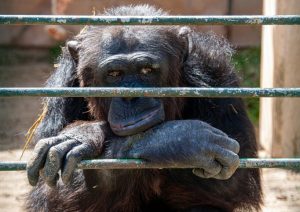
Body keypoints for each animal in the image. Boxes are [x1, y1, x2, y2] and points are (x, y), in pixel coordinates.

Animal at [25, 4, 262, 212]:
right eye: (114, 74)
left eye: (147, 70)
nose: (131, 96)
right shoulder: (63, 87)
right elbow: (52, 192)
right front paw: (179, 141)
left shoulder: (216, 74)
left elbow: (232, 180)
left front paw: (176, 140)